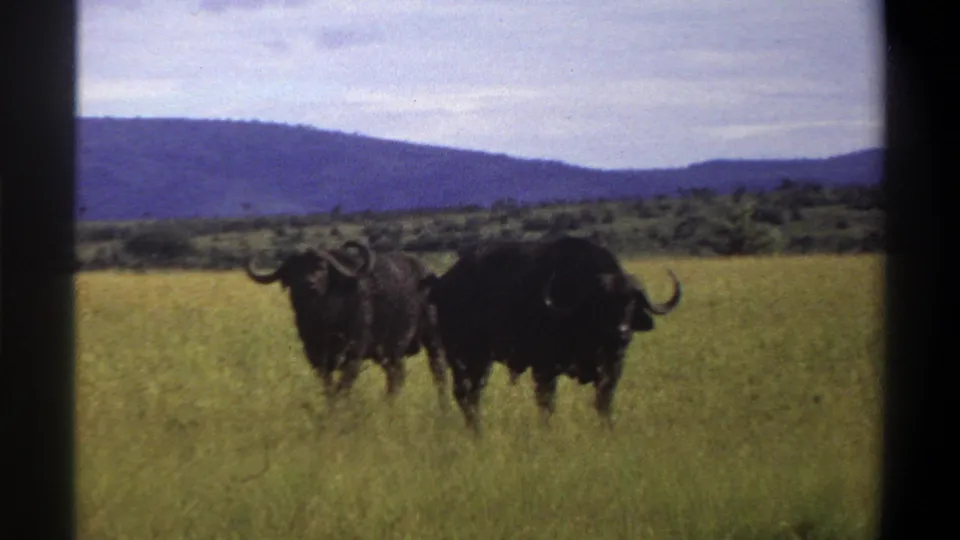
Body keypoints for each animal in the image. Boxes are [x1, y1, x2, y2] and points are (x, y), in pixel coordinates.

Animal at [246, 240, 448, 408]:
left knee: (439, 373)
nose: (308, 284)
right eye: (293, 270)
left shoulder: (354, 355)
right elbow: (328, 388)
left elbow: (343, 387)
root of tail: (430, 276)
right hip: (389, 352)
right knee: (397, 375)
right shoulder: (317, 358)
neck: (323, 319)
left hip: (433, 340)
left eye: (322, 267)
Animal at [421, 236, 681, 434]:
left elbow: (604, 402)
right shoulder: (544, 368)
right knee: (465, 393)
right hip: (465, 356)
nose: (622, 333)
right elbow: (546, 403)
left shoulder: (612, 368)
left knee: (471, 393)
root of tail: (443, 285)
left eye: (632, 303)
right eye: (602, 302)